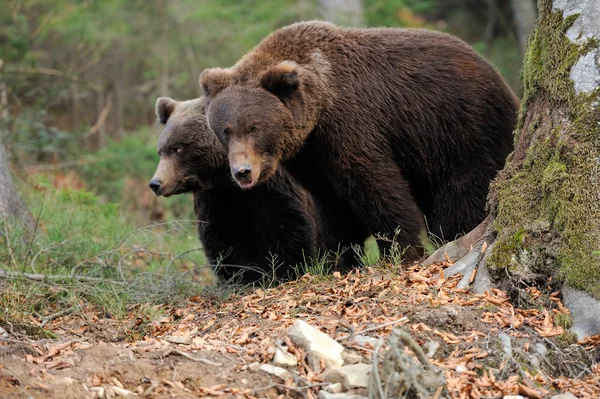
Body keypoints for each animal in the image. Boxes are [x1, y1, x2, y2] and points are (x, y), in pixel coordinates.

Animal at [148, 96, 322, 284]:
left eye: (178, 148)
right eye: (161, 151)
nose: (156, 183)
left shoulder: (274, 187)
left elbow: (286, 225)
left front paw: (282, 272)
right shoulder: (217, 198)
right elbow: (223, 237)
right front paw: (241, 277)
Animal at [199, 20, 516, 268]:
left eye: (255, 127)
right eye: (226, 130)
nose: (242, 172)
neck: (318, 107)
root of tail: (501, 78)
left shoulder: (352, 126)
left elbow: (377, 189)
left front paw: (400, 251)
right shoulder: (311, 158)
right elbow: (334, 207)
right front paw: (341, 258)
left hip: (463, 130)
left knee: (463, 194)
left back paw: (454, 236)